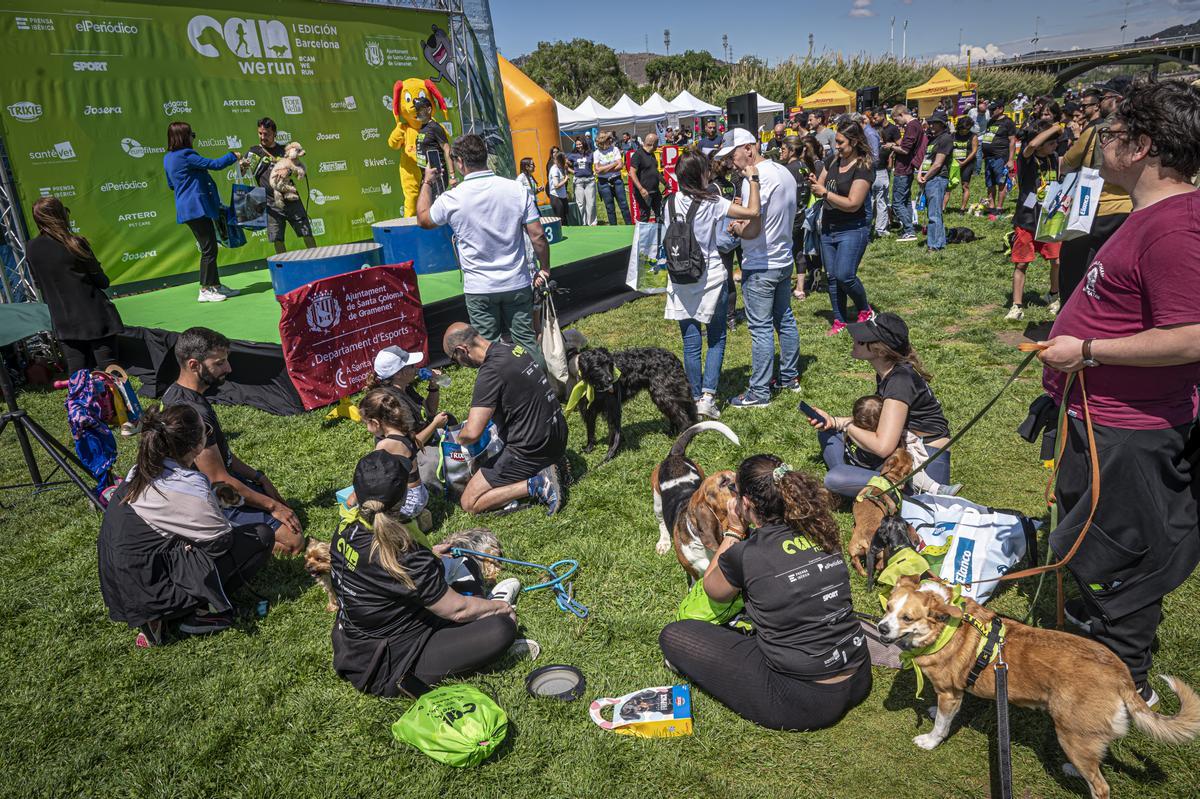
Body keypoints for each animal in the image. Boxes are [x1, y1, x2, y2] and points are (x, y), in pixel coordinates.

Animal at [652, 419, 734, 583]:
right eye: (723, 482)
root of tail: (675, 455)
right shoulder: (695, 575)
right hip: (656, 500)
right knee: (661, 522)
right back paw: (664, 543)